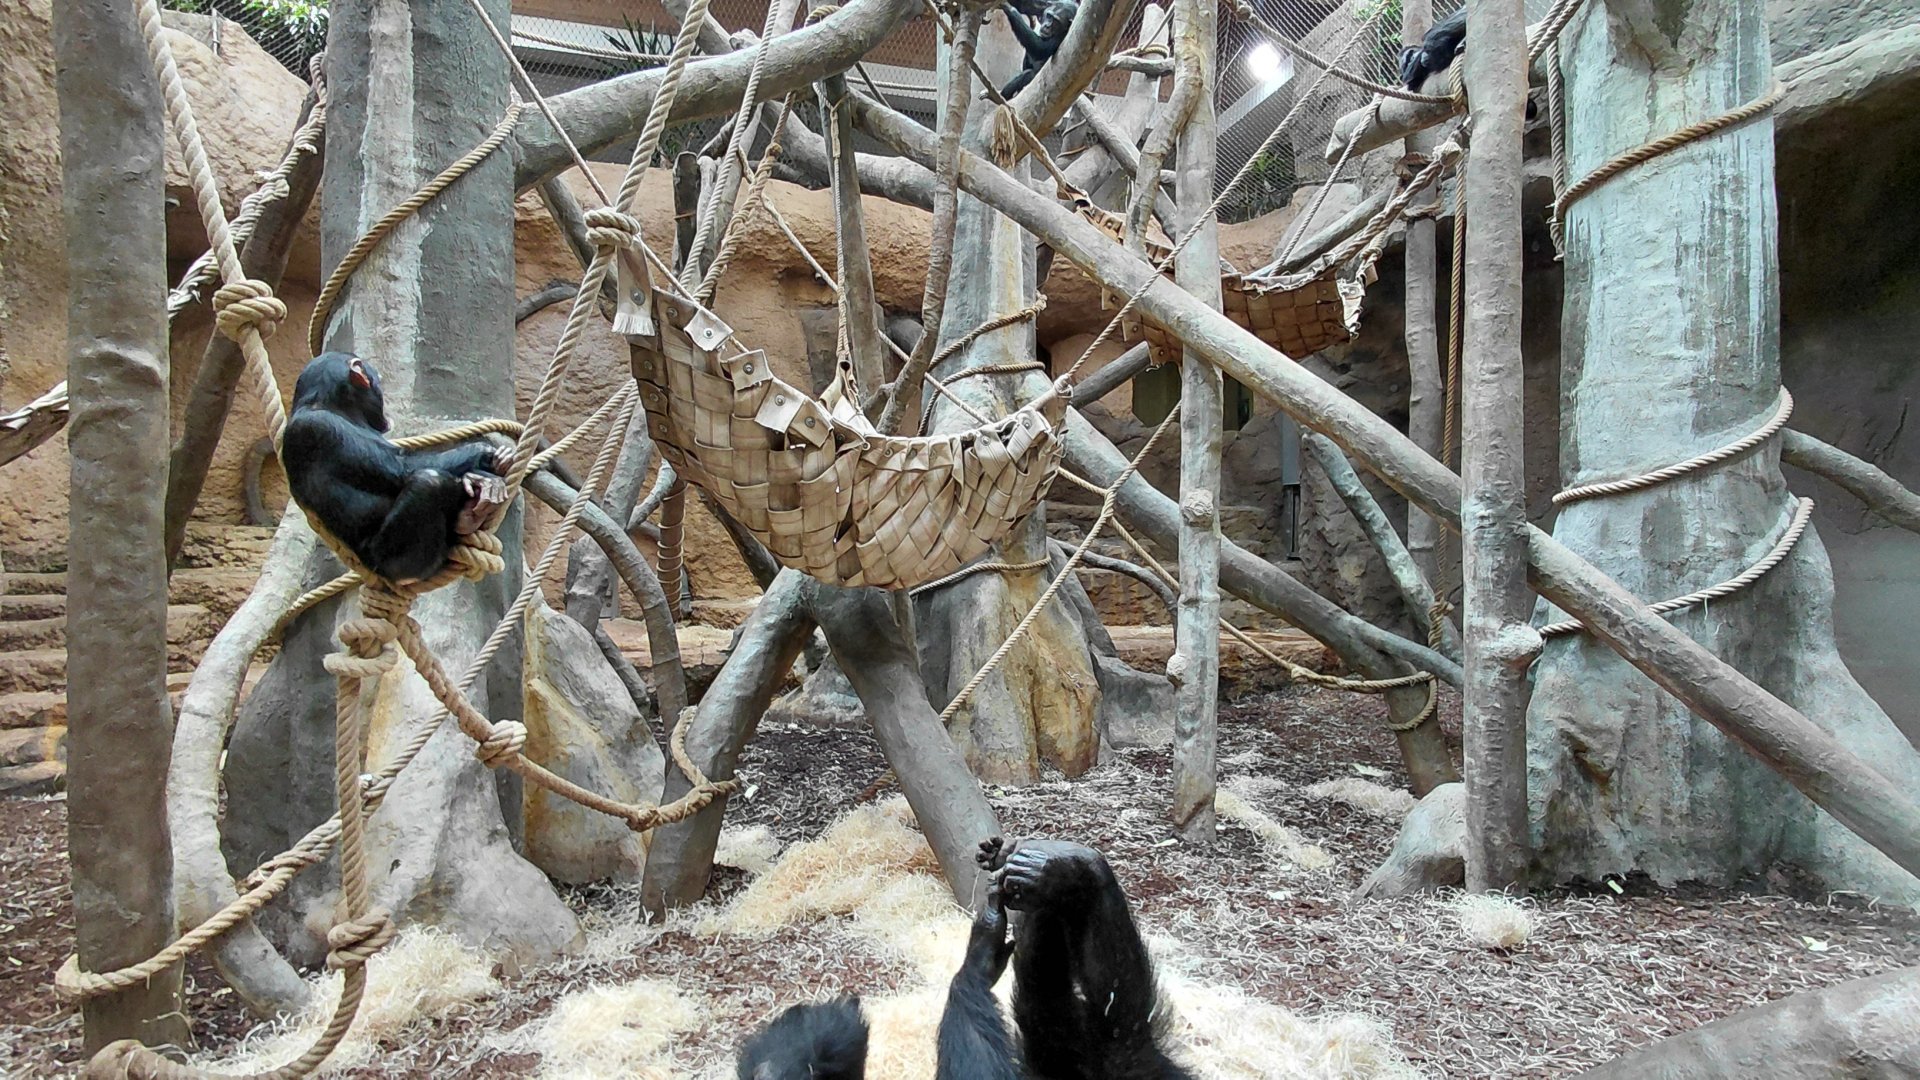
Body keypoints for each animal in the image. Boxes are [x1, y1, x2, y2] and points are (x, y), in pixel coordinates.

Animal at [282, 351, 511, 583]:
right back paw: (466, 516)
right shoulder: (319, 427)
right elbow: (400, 467)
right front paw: (483, 453)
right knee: (430, 481)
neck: (340, 409)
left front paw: (476, 477)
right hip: (396, 563)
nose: (380, 385)